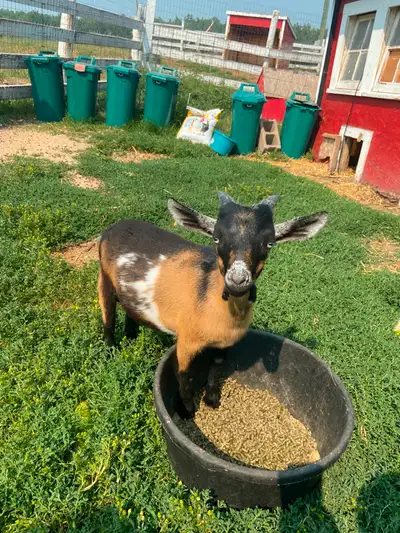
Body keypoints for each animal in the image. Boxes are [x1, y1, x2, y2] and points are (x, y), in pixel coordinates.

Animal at [97, 191, 328, 416]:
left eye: (269, 243)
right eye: (216, 238)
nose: (237, 279)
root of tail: (116, 226)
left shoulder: (223, 342)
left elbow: (216, 367)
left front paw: (212, 400)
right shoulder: (186, 341)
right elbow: (185, 375)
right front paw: (187, 412)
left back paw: (130, 338)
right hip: (104, 278)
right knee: (108, 317)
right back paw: (110, 352)